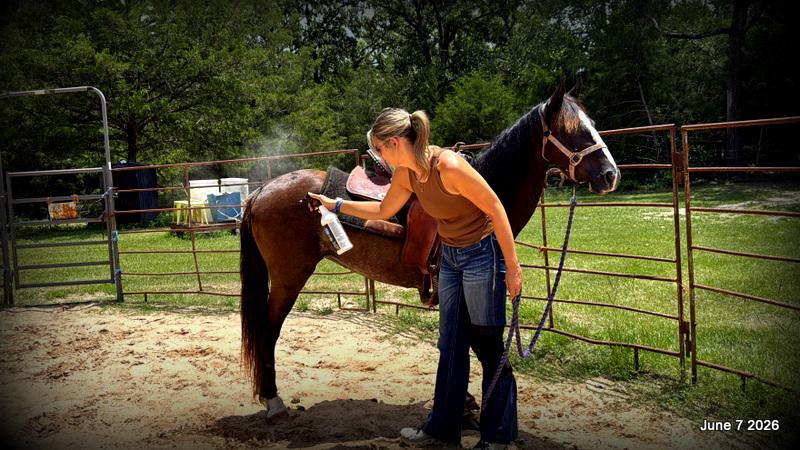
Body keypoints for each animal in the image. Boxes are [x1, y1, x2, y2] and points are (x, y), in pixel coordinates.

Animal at [239, 80, 620, 418]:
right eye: (571, 129)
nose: (610, 175)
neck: (480, 195)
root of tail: (260, 192)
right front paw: (466, 404)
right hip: (289, 278)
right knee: (268, 330)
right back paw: (274, 401)